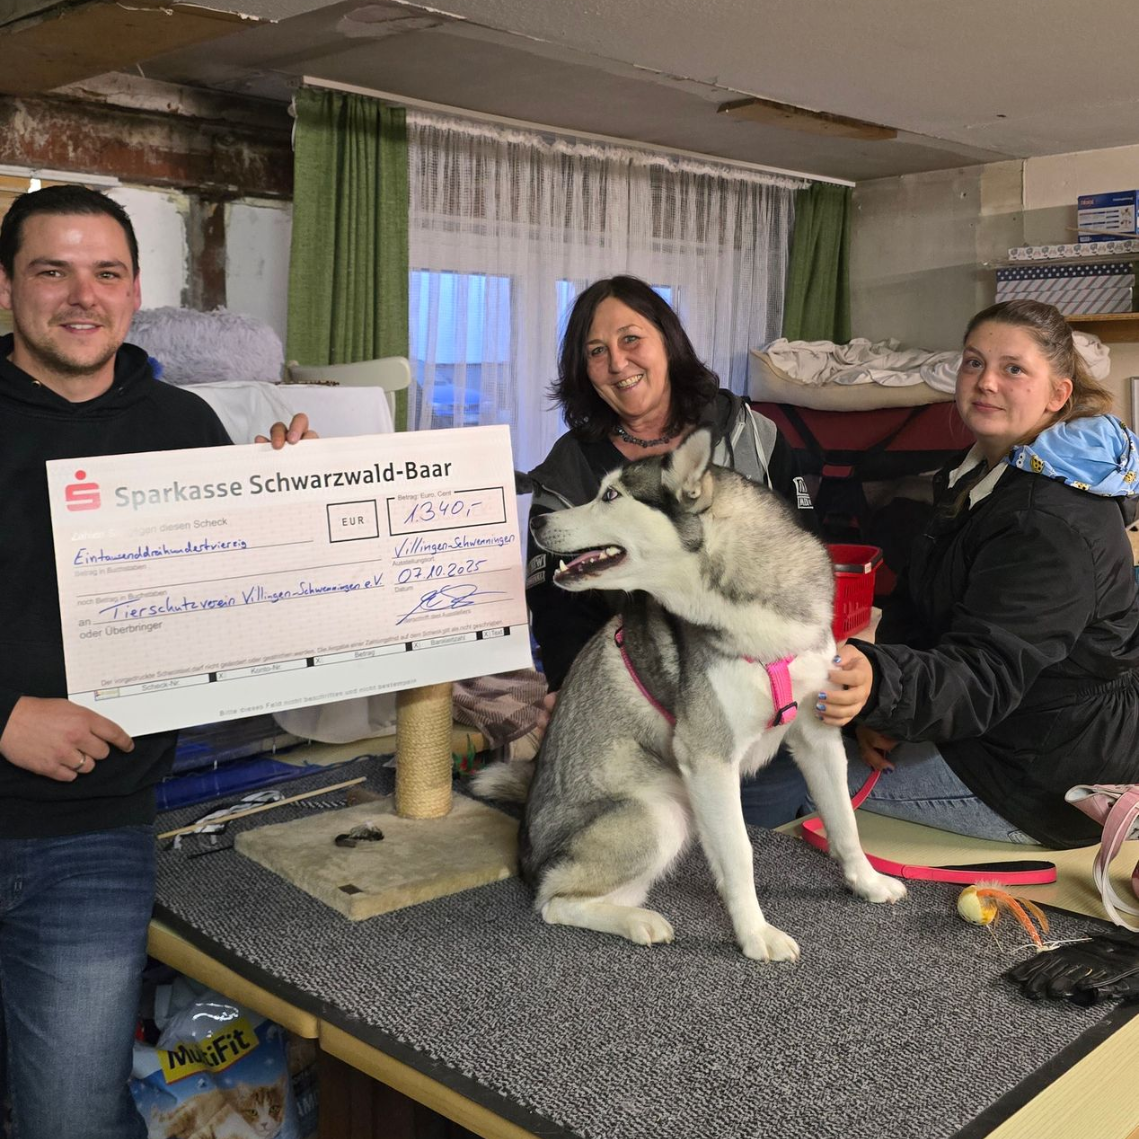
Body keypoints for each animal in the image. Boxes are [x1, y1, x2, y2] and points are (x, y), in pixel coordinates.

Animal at [473, 428, 905, 961]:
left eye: (611, 496)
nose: (538, 520)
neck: (755, 616)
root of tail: (527, 849)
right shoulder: (709, 757)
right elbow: (740, 852)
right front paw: (756, 934)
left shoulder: (817, 737)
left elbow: (844, 820)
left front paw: (867, 881)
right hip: (662, 813)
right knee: (553, 900)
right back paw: (638, 921)